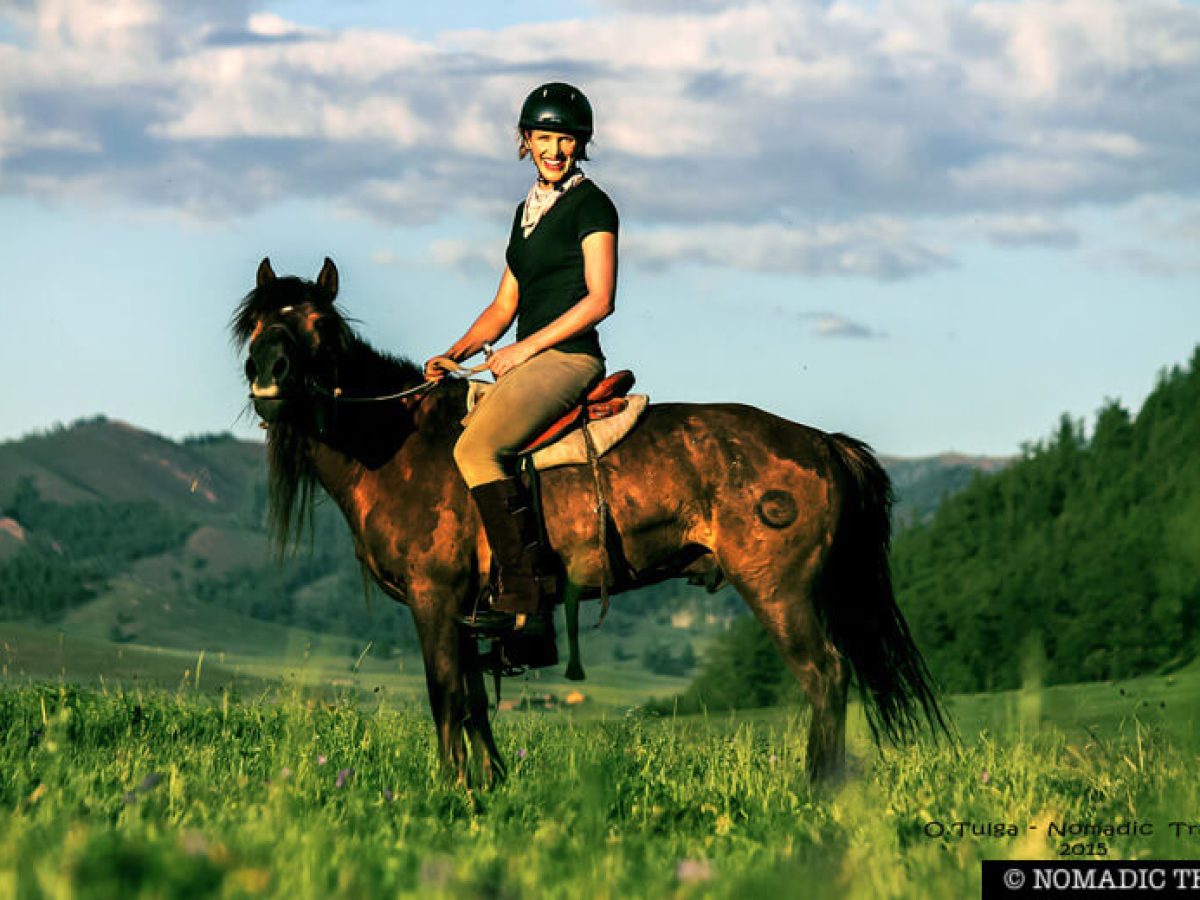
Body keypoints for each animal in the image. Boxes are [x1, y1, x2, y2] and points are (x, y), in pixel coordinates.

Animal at [234, 256, 945, 787]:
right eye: (256, 322)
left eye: (321, 325)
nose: (267, 375)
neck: (398, 441)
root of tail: (822, 443)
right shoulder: (468, 611)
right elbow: (474, 701)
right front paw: (489, 786)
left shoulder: (435, 599)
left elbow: (446, 696)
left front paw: (453, 790)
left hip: (779, 590)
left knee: (825, 674)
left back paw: (819, 789)